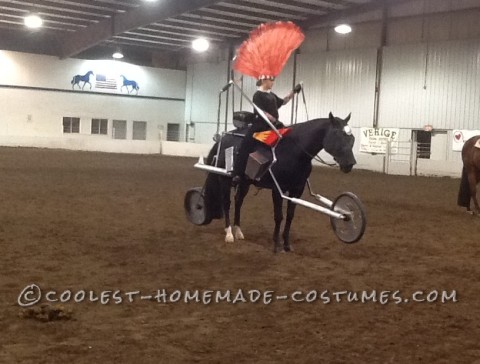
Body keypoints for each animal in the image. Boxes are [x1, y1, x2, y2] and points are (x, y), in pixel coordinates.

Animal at [203, 113, 356, 253]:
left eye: (352, 138)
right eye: (337, 135)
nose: (350, 164)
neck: (293, 151)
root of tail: (224, 138)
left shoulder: (297, 190)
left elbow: (290, 216)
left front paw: (287, 244)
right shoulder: (278, 189)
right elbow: (279, 216)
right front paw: (277, 245)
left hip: (245, 182)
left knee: (238, 201)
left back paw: (238, 231)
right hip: (225, 180)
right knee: (227, 203)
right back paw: (229, 234)